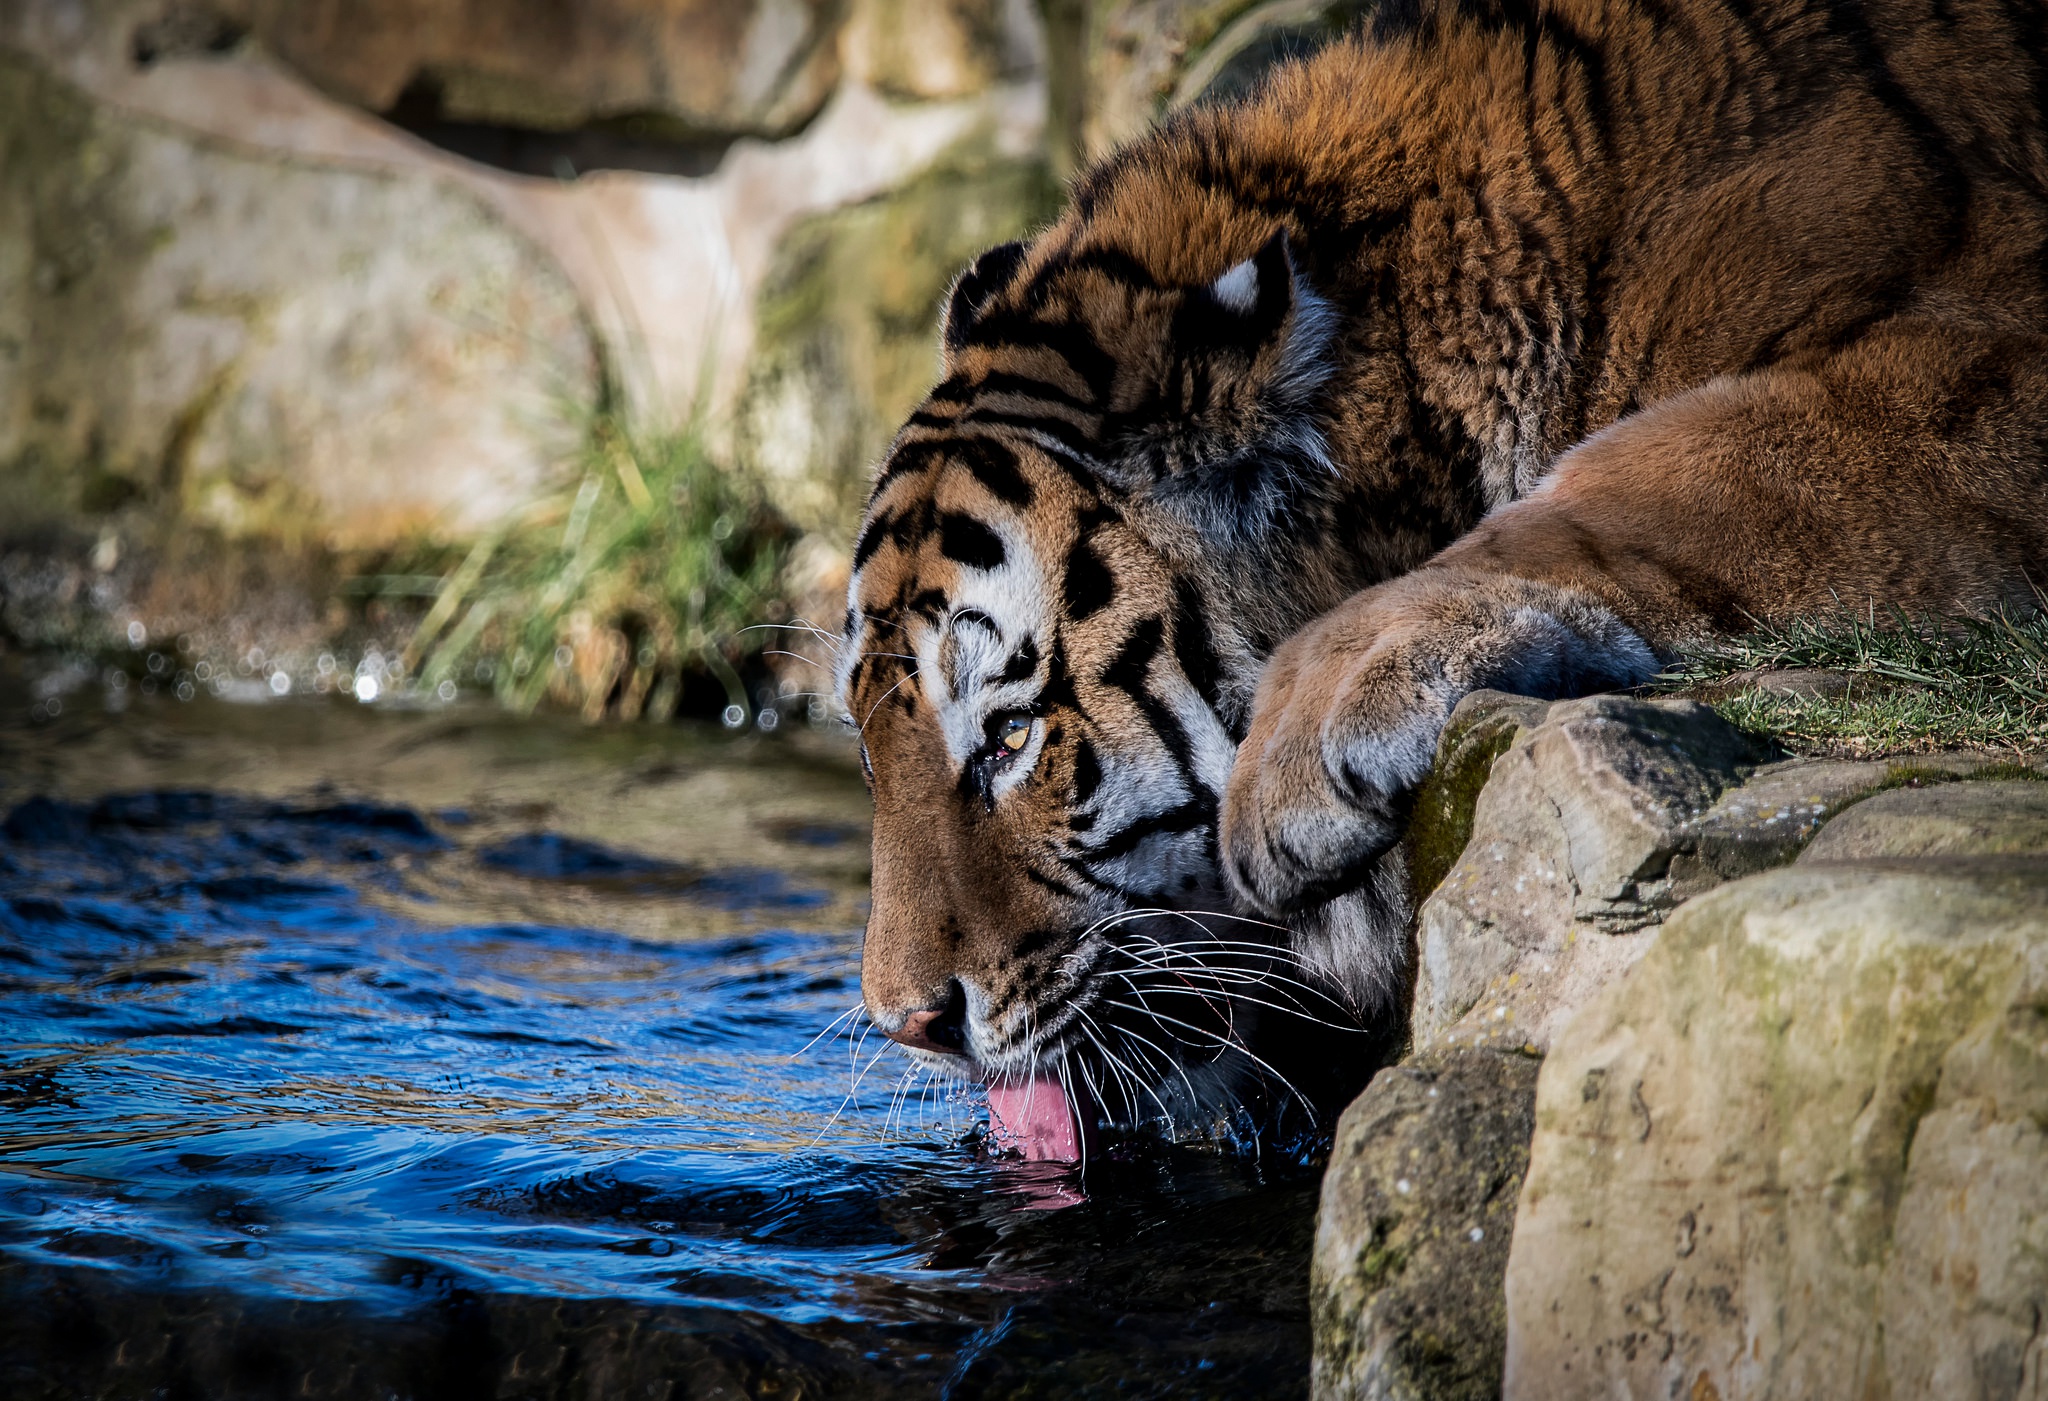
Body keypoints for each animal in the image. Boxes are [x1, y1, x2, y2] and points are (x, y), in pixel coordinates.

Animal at [831, 0, 2048, 1163]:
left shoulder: (1964, 368)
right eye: (869, 745)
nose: (909, 1024)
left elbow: (1647, 475)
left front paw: (1306, 735)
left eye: (1009, 736)